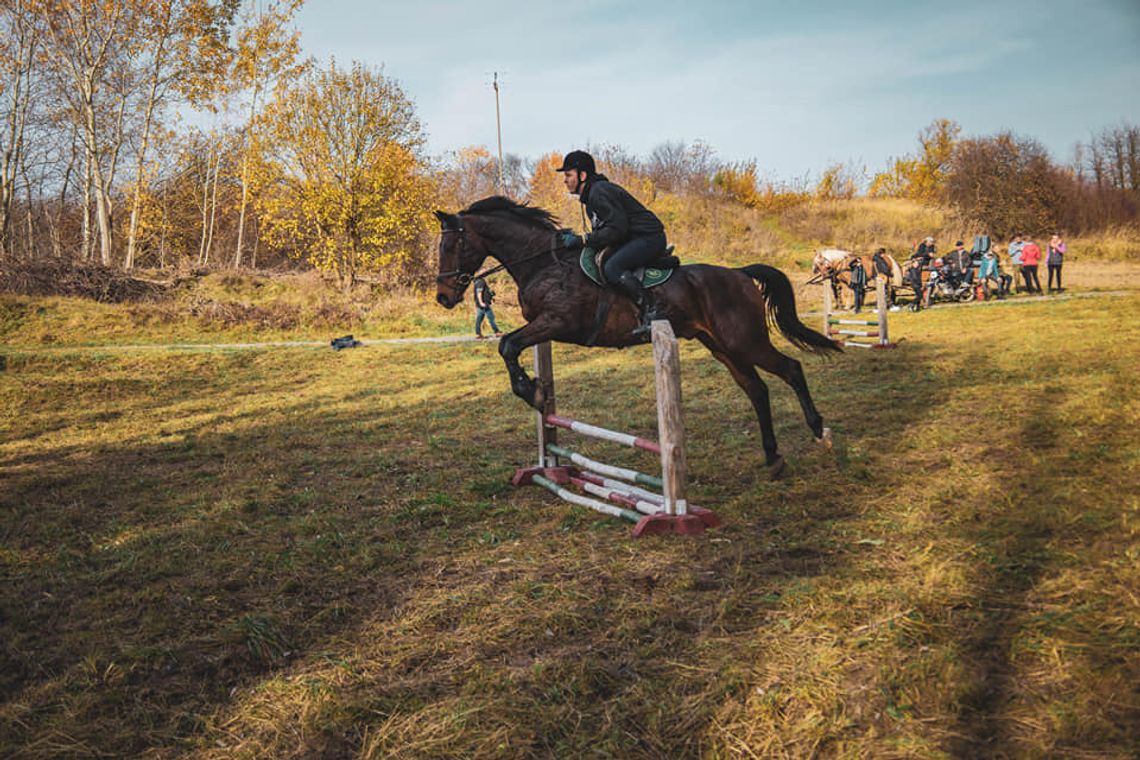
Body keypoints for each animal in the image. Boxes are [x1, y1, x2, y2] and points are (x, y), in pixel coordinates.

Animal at [430, 199, 843, 478]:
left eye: (451, 246)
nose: (444, 297)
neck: (544, 263)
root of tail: (740, 273)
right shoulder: (543, 325)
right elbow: (510, 346)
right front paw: (535, 389)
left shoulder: (556, 322)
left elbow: (508, 345)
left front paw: (532, 392)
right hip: (721, 346)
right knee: (756, 389)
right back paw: (773, 457)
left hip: (745, 340)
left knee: (791, 369)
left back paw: (820, 431)